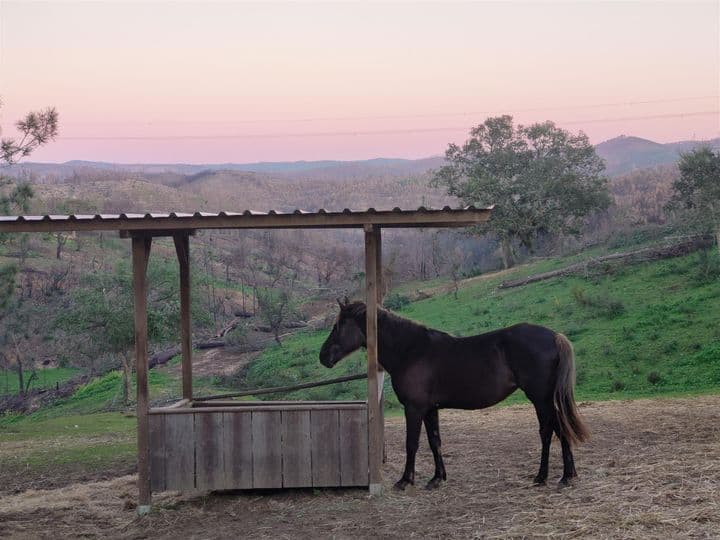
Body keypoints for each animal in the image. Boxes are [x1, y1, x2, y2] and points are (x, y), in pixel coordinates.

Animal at [318, 300, 588, 490]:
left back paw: (552, 476)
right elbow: (434, 441)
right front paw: (437, 478)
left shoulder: (414, 408)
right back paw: (562, 475)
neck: (411, 350)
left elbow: (412, 443)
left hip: (541, 399)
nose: (323, 356)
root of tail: (555, 336)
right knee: (556, 430)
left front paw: (405, 480)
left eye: (338, 325)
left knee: (551, 431)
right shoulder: (430, 409)